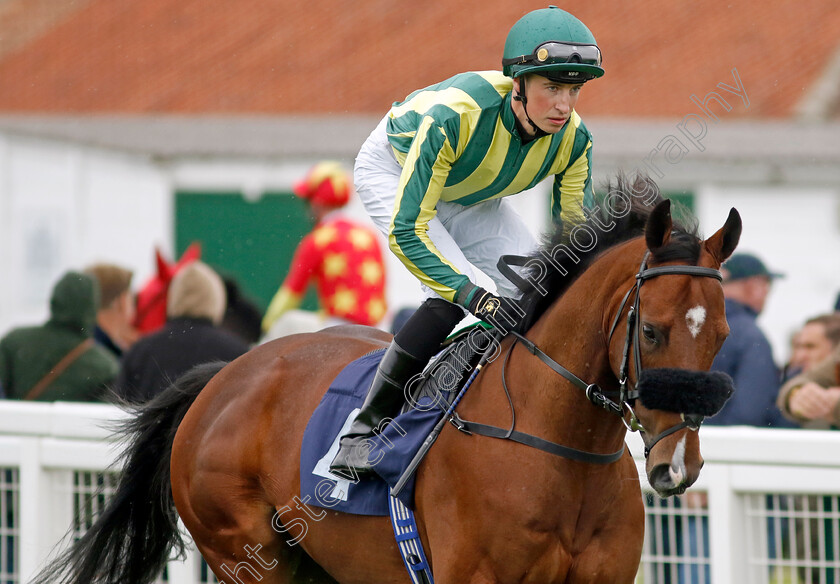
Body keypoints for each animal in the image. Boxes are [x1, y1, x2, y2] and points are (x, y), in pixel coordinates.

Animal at [32, 177, 740, 584]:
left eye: (722, 335)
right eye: (653, 333)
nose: (678, 466)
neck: (557, 448)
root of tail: (222, 377)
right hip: (245, 554)